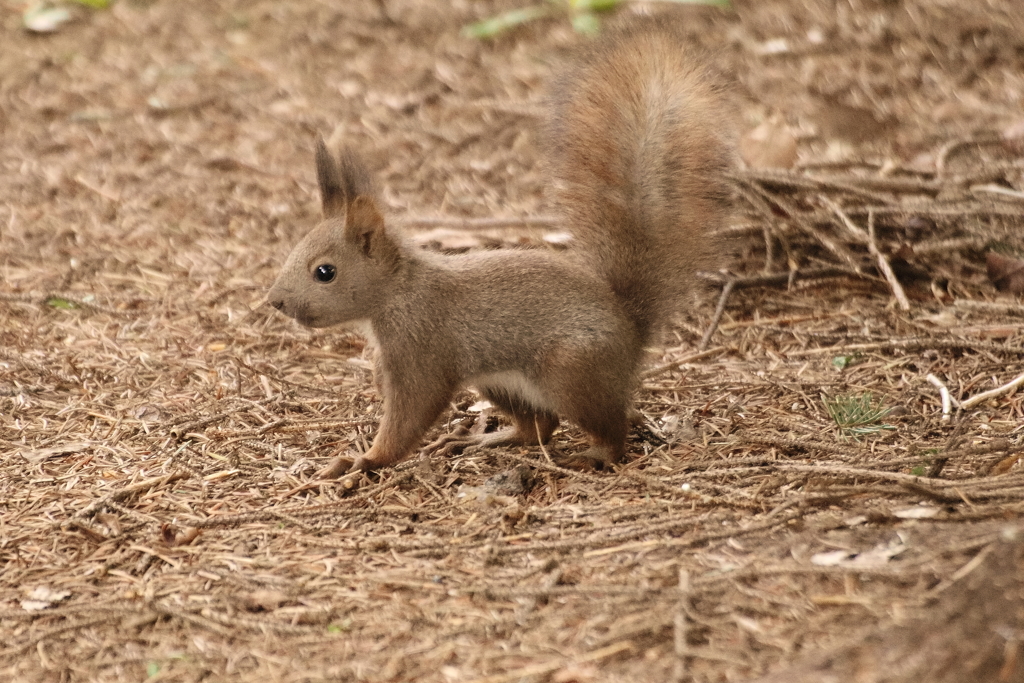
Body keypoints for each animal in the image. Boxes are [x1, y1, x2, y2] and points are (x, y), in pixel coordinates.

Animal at [270, 15, 737, 475]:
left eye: (324, 272)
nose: (275, 301)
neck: (398, 292)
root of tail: (631, 329)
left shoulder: (422, 350)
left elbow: (412, 413)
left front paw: (365, 459)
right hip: (498, 380)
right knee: (539, 428)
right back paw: (485, 439)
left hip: (571, 372)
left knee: (609, 429)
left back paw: (593, 455)